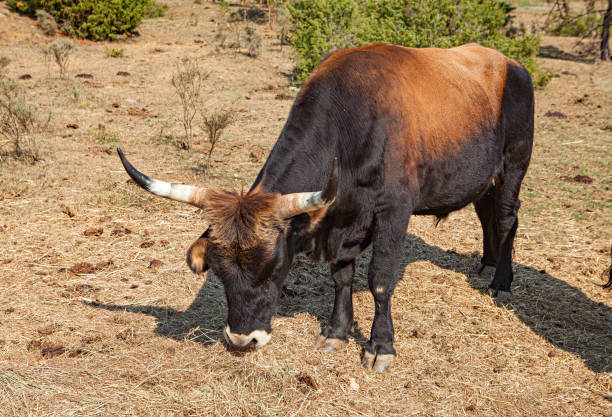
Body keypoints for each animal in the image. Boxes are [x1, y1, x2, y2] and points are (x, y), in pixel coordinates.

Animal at [117, 44, 532, 372]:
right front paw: (336, 332)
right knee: (486, 213)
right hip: (481, 177)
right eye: (218, 272)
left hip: (514, 165)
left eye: (273, 268)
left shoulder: (393, 213)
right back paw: (487, 264)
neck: (355, 122)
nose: (240, 340)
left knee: (507, 218)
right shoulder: (342, 221)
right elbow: (342, 277)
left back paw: (501, 282)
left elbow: (380, 280)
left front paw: (380, 346)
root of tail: (510, 62)